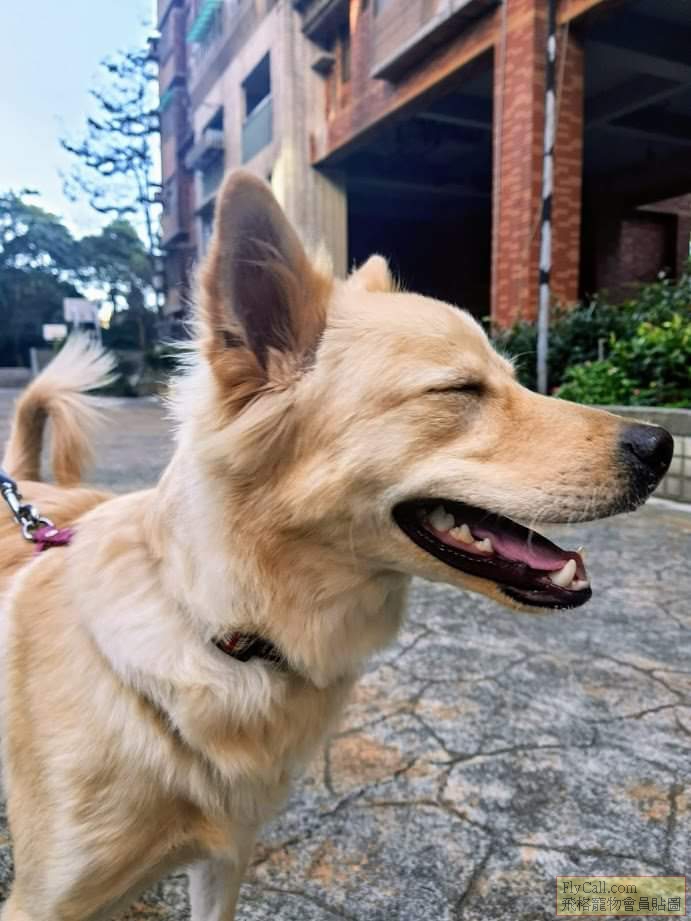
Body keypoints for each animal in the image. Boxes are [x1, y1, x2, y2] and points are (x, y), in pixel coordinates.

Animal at [0, 171, 673, 920]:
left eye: (513, 376)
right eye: (459, 388)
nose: (662, 446)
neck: (221, 627)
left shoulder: (224, 859)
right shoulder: (44, 898)